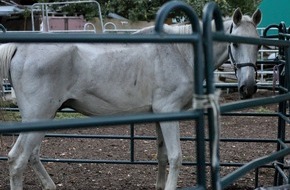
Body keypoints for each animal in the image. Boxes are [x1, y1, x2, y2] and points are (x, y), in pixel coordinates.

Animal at [0, 7, 260, 190]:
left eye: (257, 46)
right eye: (235, 44)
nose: (248, 87)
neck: (180, 51)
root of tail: (19, 47)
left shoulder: (159, 115)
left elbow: (162, 155)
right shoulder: (168, 112)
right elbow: (176, 157)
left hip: (41, 118)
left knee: (32, 155)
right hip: (39, 116)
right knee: (17, 160)